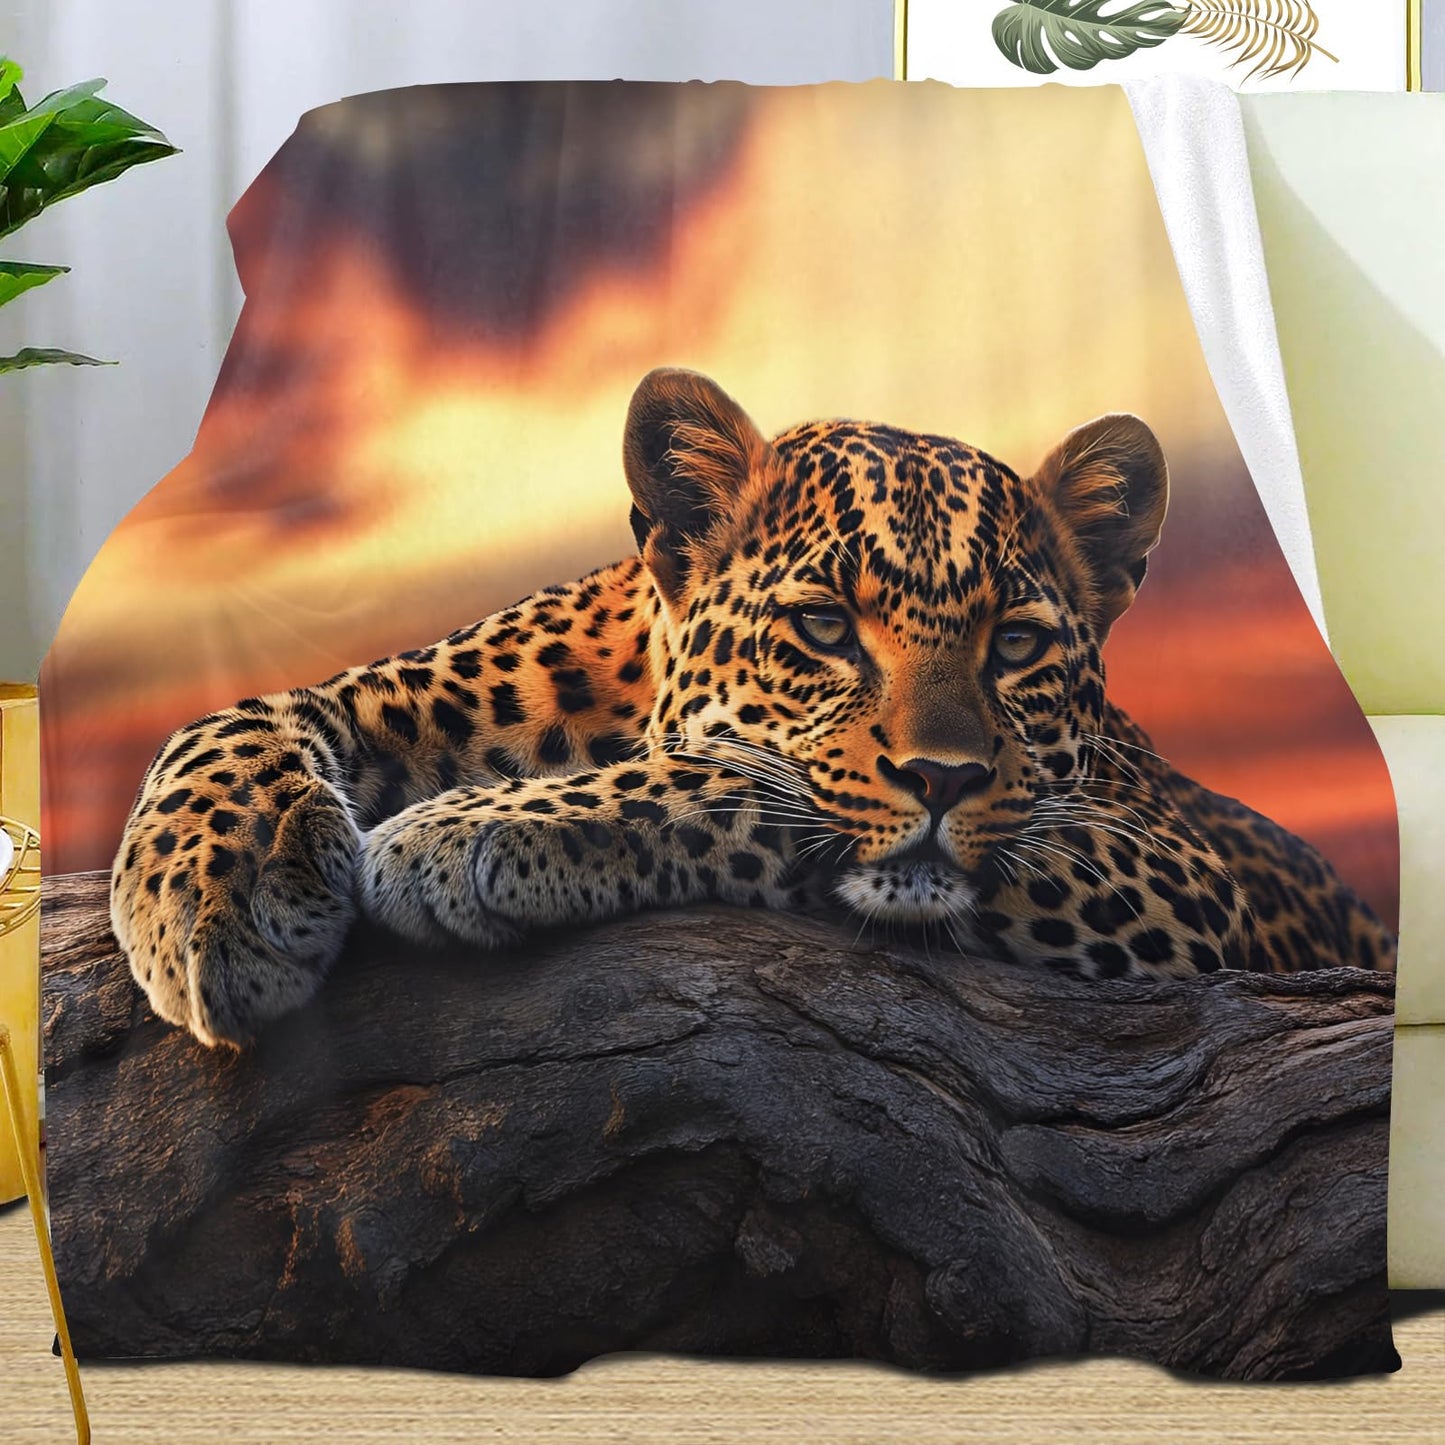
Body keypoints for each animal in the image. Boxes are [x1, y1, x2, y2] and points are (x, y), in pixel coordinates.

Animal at [110, 367, 1397, 1047]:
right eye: (824, 627)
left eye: (1017, 644)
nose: (944, 778)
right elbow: (231, 717)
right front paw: (215, 900)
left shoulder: (1167, 870)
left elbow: (739, 781)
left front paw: (467, 833)